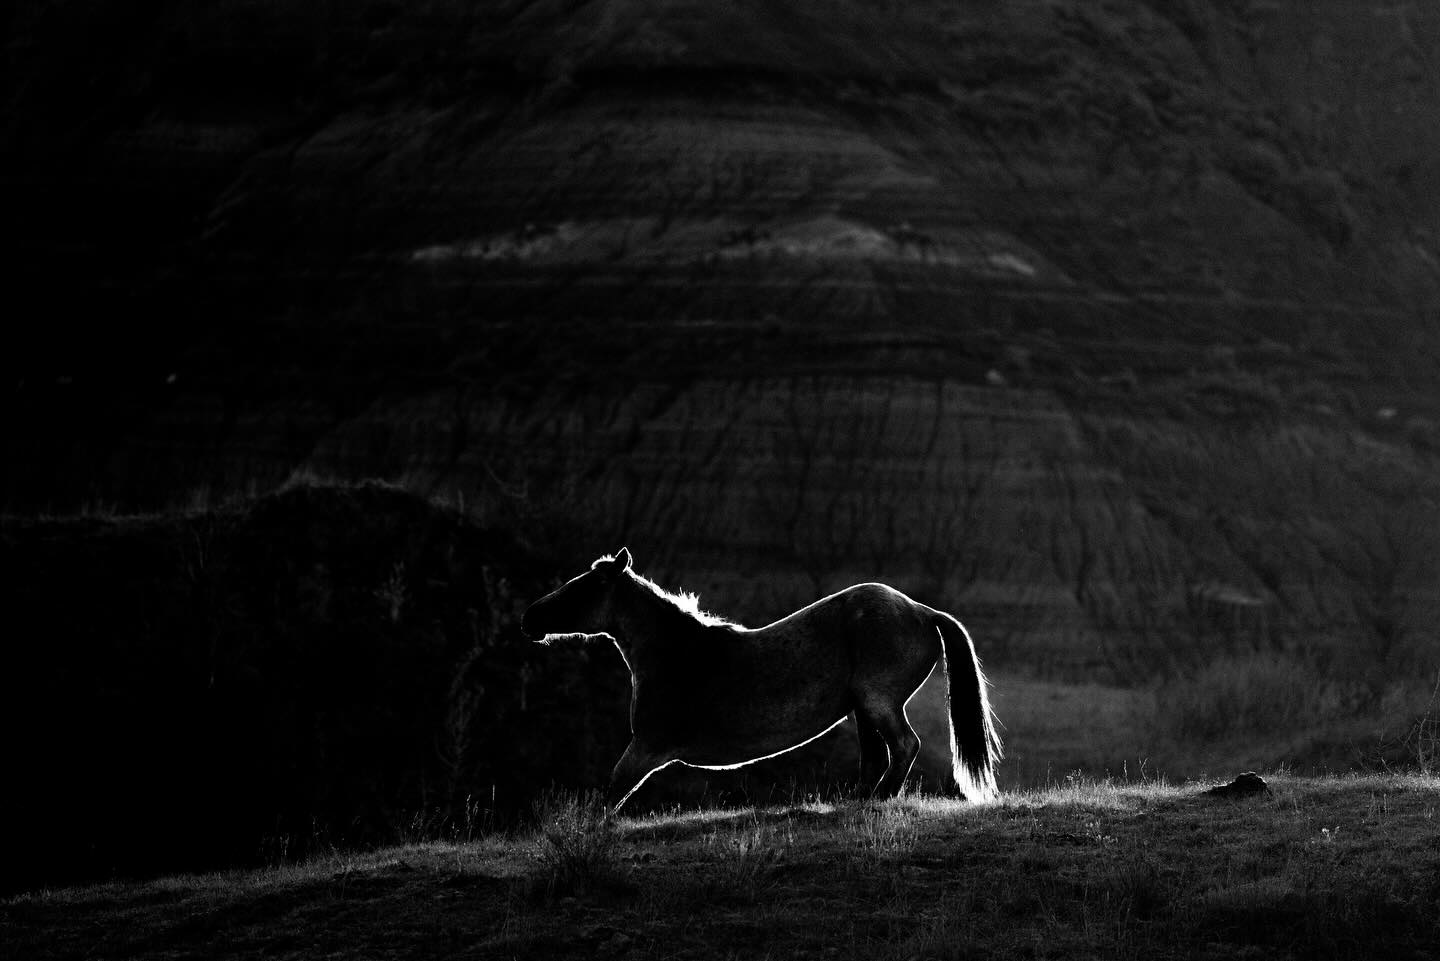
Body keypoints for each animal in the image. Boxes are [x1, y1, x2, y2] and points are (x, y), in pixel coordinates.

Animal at [521, 547, 1001, 812]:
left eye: (581, 587)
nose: (529, 619)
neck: (677, 655)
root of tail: (922, 610)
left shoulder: (646, 749)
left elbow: (610, 798)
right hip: (863, 710)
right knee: (877, 758)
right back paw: (864, 800)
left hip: (878, 703)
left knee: (904, 746)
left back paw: (881, 799)